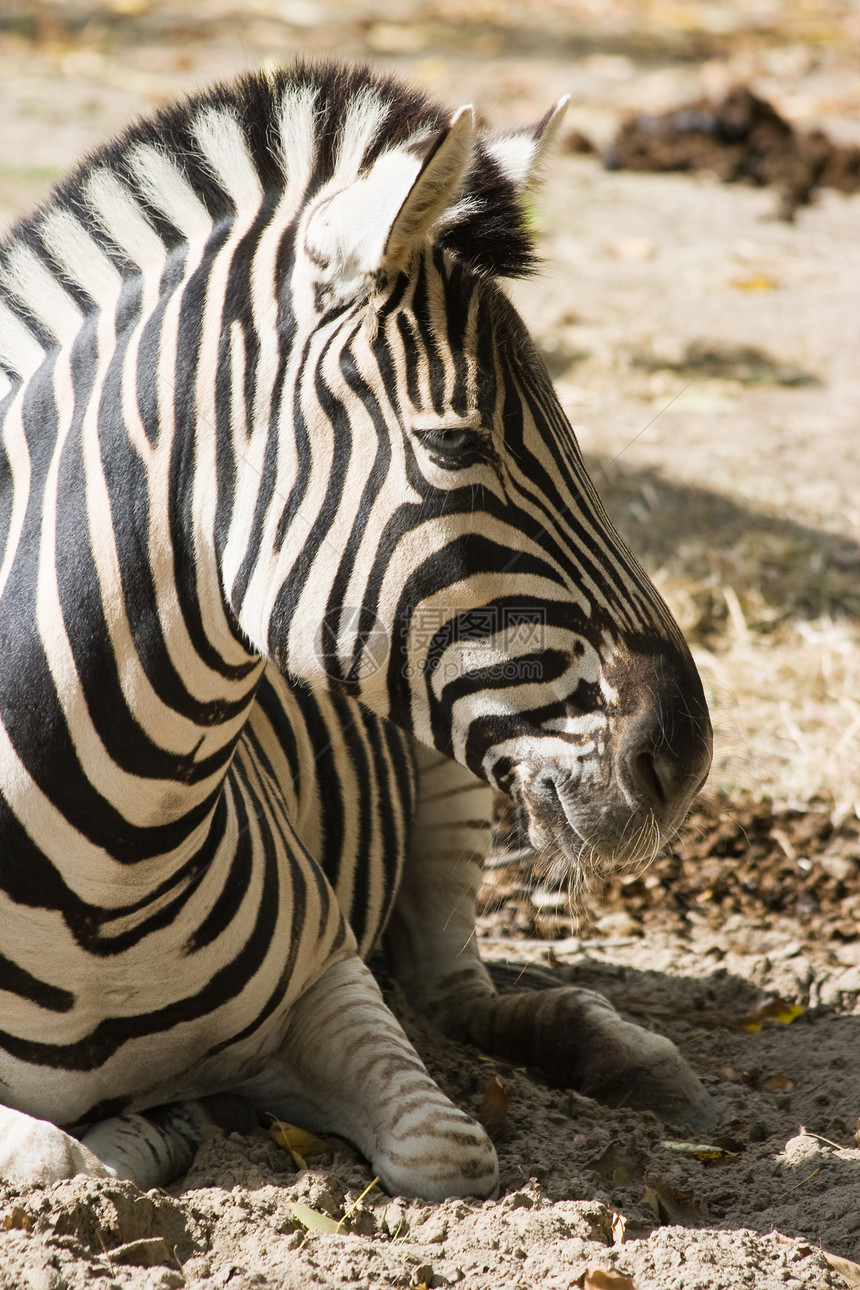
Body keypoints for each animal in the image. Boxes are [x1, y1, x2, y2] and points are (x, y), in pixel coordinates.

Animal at [0, 65, 711, 1202]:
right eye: (456, 444)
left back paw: (621, 1055)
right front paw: (144, 1130)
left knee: (450, 989)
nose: (684, 757)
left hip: (455, 787)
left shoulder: (328, 972)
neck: (108, 876)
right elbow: (49, 1151)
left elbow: (443, 1144)